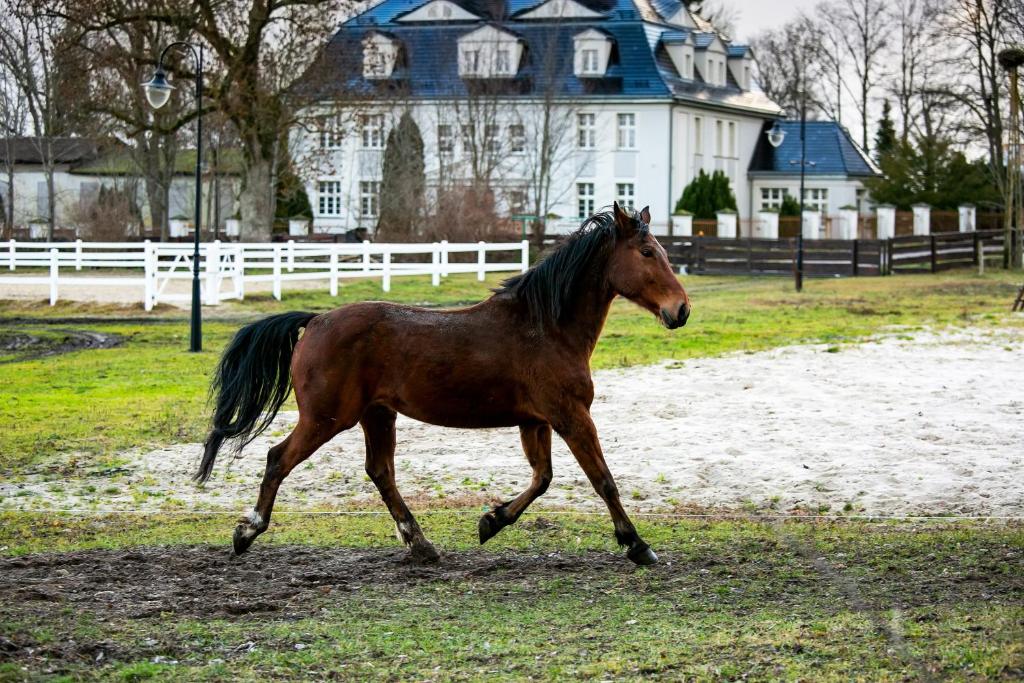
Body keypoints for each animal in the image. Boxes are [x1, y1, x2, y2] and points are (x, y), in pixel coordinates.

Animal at [198, 202, 691, 566]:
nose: (680, 310)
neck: (546, 326)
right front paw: (637, 545)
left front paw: (492, 521)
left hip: (377, 416)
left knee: (380, 472)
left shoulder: (536, 421)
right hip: (326, 418)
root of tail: (316, 320)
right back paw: (247, 531)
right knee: (278, 459)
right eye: (647, 253)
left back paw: (422, 545)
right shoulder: (570, 416)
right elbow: (602, 480)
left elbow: (543, 478)